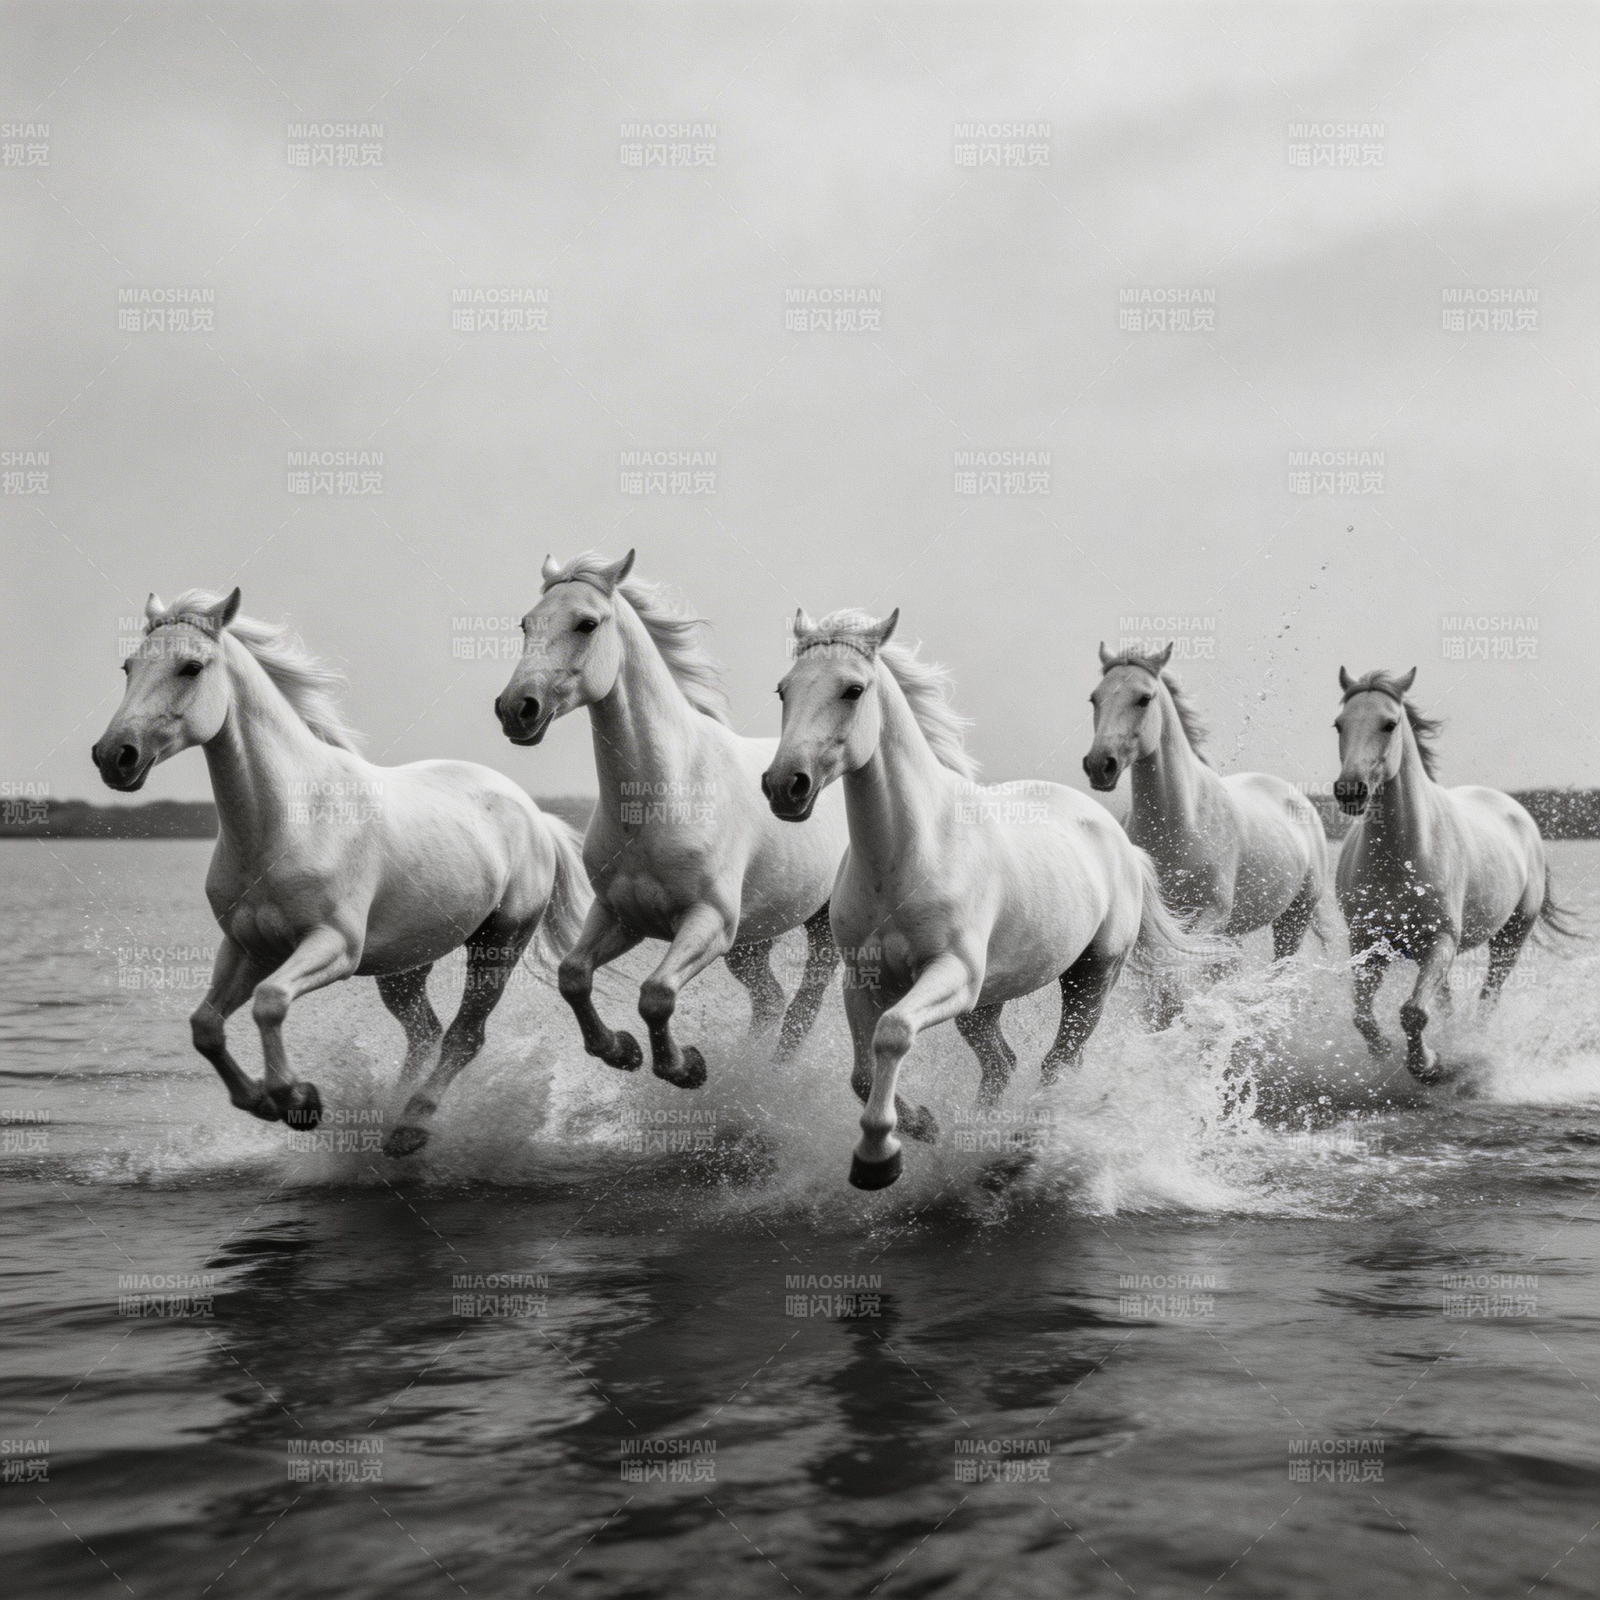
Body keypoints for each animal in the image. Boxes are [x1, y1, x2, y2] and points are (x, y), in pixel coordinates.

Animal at [92, 588, 589, 1156]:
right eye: (129, 667)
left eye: (190, 667)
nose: (114, 756)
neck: (288, 822)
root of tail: (535, 814)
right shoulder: (247, 948)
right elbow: (206, 1026)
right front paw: (263, 1101)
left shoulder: (333, 945)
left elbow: (269, 1002)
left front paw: (298, 1100)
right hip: (405, 967)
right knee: (425, 1034)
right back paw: (387, 1116)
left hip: (499, 943)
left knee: (464, 1037)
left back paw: (409, 1126)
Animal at [494, 550, 849, 1089]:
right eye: (526, 624)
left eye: (586, 623)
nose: (516, 709)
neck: (662, 799)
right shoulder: (620, 915)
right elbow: (573, 976)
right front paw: (620, 1050)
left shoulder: (709, 923)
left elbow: (656, 994)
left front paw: (685, 1067)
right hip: (751, 942)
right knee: (770, 998)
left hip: (820, 925)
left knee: (804, 1004)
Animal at [762, 608, 1211, 1190]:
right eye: (784, 690)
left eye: (853, 689)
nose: (784, 786)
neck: (908, 857)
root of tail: (1122, 841)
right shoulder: (862, 977)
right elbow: (861, 1073)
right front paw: (923, 1126)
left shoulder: (951, 973)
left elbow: (893, 1034)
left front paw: (878, 1157)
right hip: (985, 1004)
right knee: (1002, 1064)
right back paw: (980, 1140)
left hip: (1091, 977)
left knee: (1060, 1062)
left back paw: (1026, 1146)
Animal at [1084, 642, 1329, 1014]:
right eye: (1094, 698)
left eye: (1144, 698)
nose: (1100, 765)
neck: (1180, 824)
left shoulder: (1210, 915)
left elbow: (1177, 978)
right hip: (1237, 930)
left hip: (1294, 918)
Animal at [1333, 666, 1575, 1083]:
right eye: (1339, 724)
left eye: (1389, 723)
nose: (1350, 790)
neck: (1400, 856)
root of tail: (1518, 813)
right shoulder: (1367, 941)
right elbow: (1363, 1015)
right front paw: (1383, 1052)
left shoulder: (1441, 940)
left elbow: (1413, 1012)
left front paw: (1428, 1065)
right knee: (1447, 1005)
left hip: (1510, 937)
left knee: (1487, 1001)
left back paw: (1470, 1047)